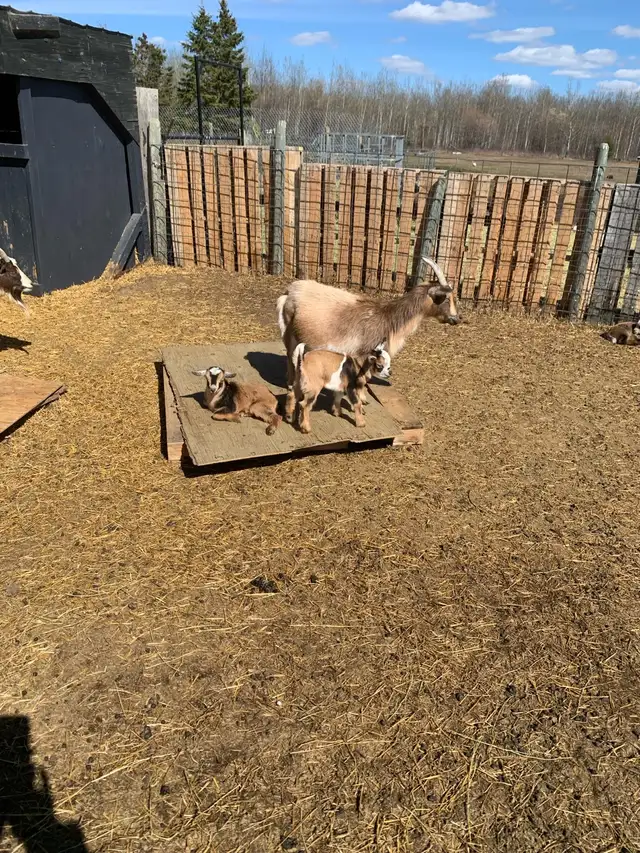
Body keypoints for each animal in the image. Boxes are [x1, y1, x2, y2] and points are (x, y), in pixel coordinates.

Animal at [277, 256, 459, 419]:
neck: (388, 318)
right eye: (446, 299)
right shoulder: (364, 353)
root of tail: (289, 292)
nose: (457, 319)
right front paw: (361, 402)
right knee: (290, 357)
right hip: (288, 331)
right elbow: (364, 378)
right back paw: (290, 382)